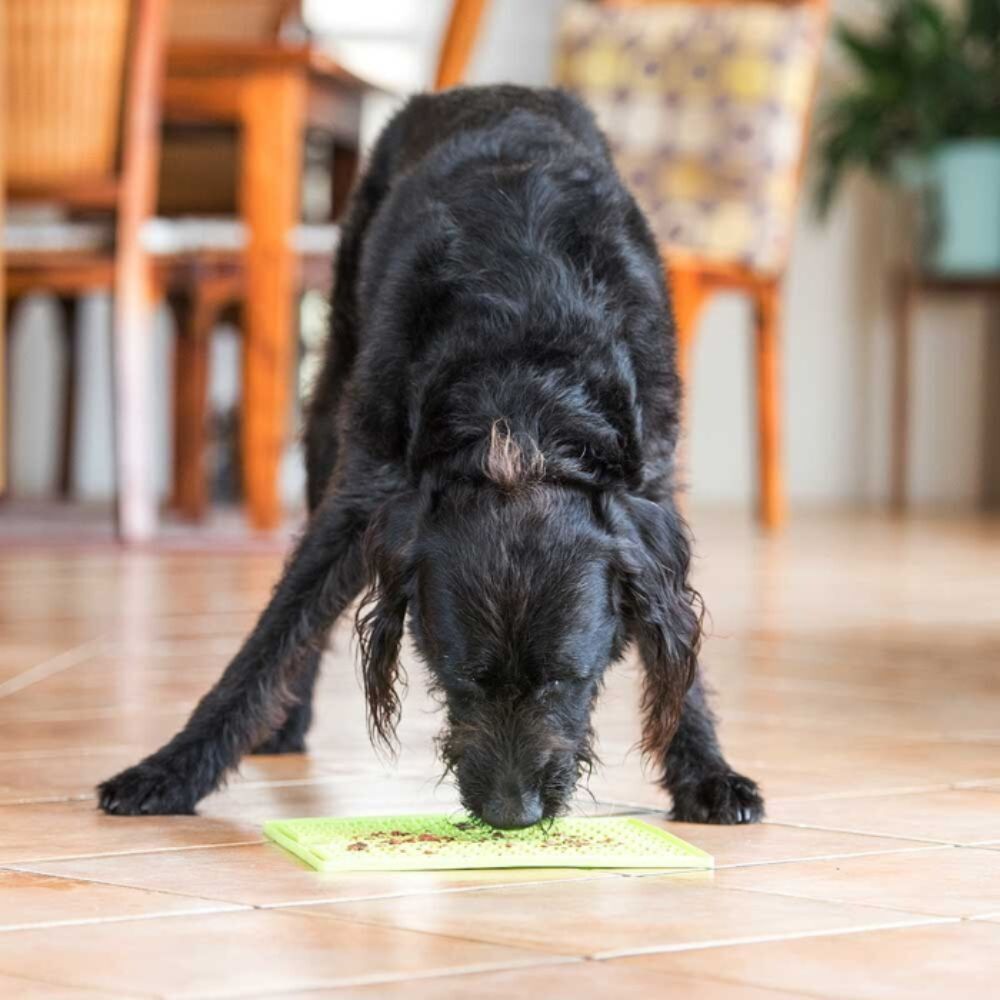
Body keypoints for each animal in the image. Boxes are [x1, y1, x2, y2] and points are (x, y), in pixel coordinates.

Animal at [97, 86, 760, 828]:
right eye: (458, 676)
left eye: (567, 679)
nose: (512, 812)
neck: (522, 400)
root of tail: (487, 91)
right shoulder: (364, 494)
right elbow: (275, 638)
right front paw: (171, 768)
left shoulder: (650, 489)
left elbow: (675, 638)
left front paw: (706, 770)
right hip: (329, 402)